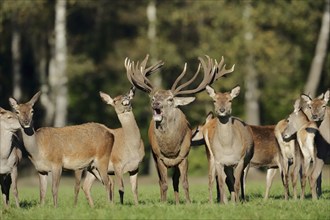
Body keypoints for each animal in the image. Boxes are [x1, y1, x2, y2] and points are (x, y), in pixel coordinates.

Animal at [125, 54, 233, 204]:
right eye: (153, 98)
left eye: (170, 99)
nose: (156, 104)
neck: (170, 148)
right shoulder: (159, 157)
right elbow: (164, 183)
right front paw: (163, 203)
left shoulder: (184, 156)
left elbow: (185, 182)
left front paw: (188, 202)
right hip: (154, 156)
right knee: (161, 181)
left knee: (175, 180)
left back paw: (177, 202)